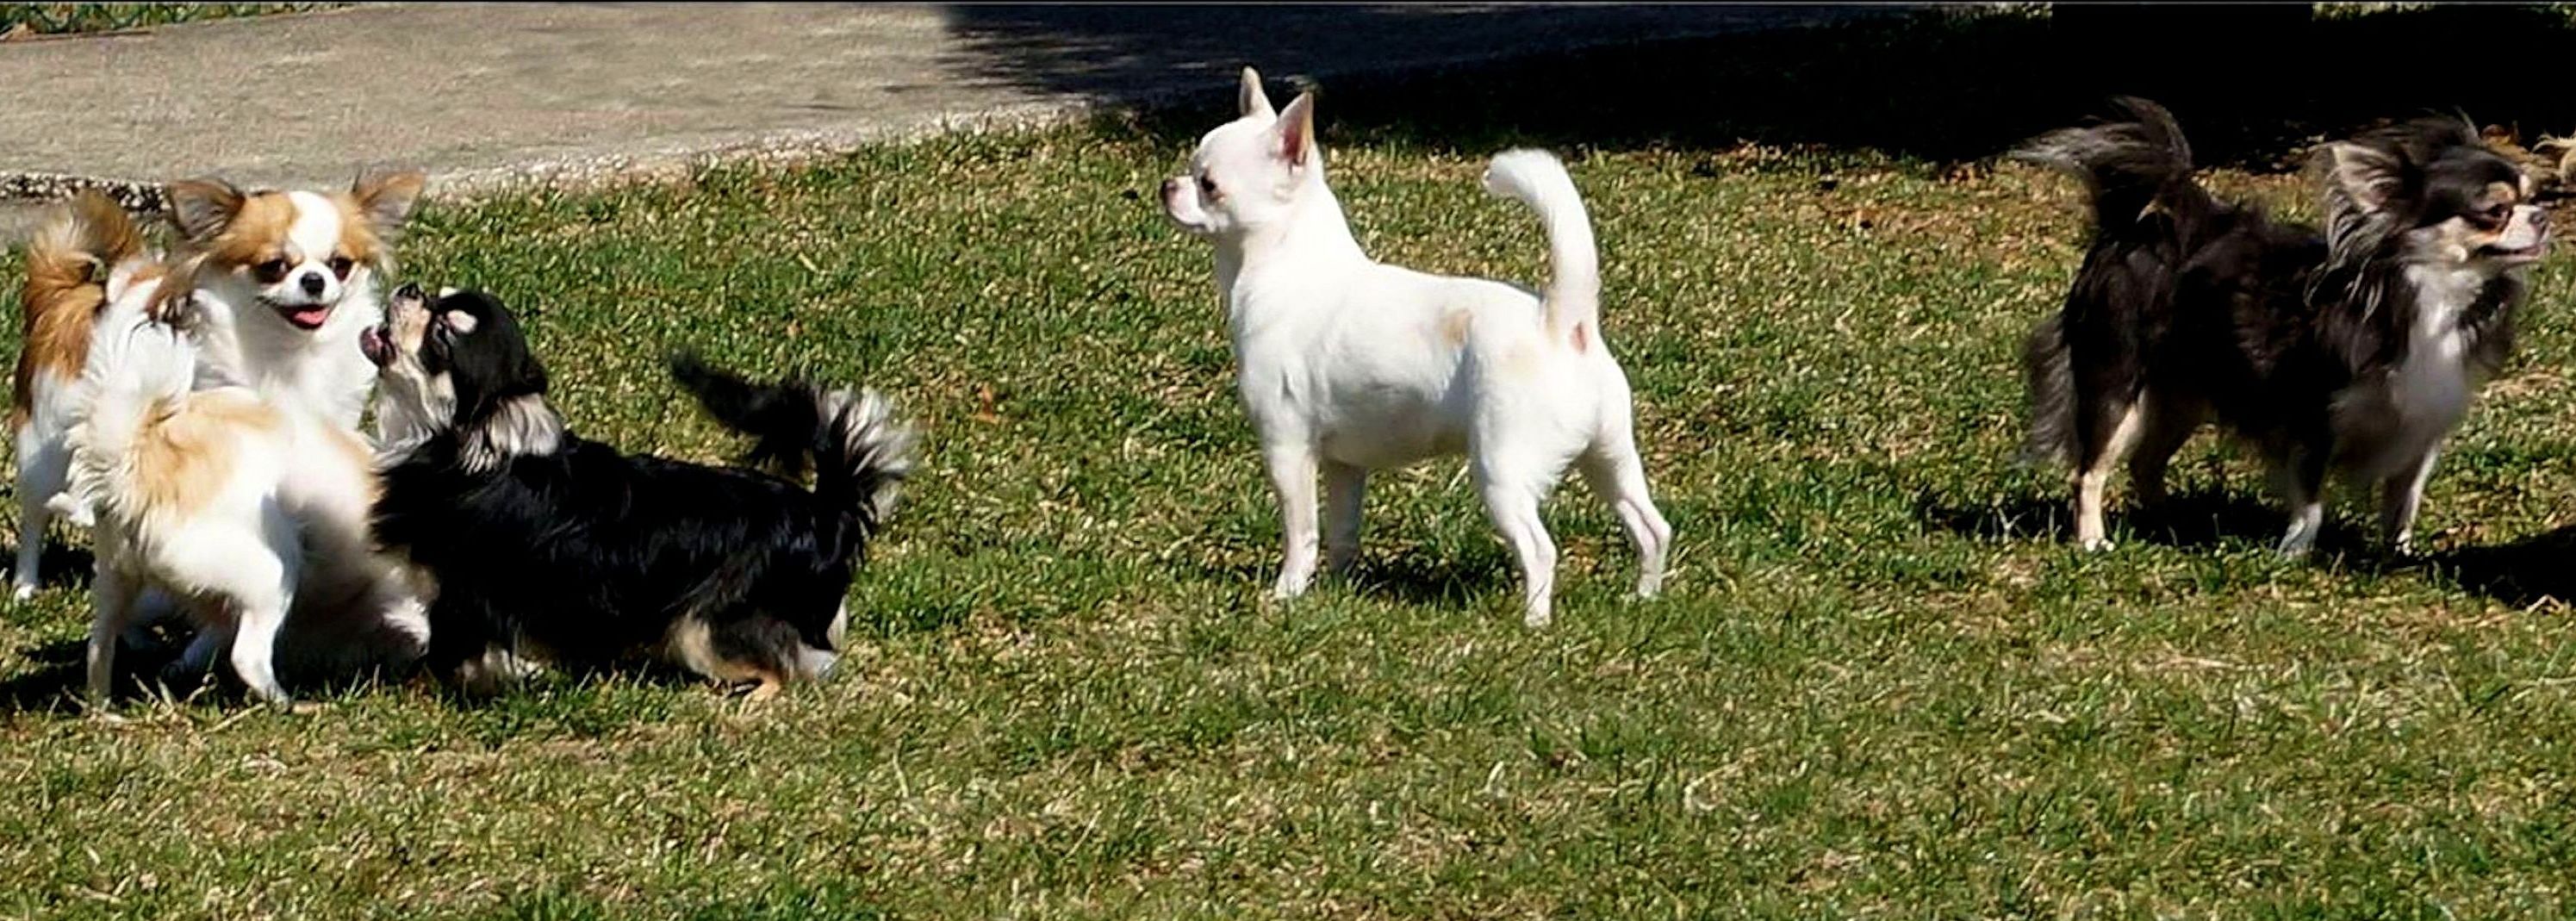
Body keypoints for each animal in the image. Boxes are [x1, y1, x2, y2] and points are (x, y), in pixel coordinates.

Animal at [11, 173, 423, 599]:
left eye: (340, 265)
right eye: (273, 267)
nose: (313, 280)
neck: (286, 351)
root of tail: (68, 294)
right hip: (44, 447)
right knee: (35, 516)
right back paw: (26, 585)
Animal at [49, 255, 429, 708]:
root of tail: (136, 456)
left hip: (115, 579)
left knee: (100, 644)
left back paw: (104, 709)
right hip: (272, 574)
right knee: (248, 657)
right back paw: (292, 703)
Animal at [363, 285, 914, 698]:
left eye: (440, 334)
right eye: (435, 296)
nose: (410, 289)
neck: (462, 449)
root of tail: (826, 509)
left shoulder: (461, 598)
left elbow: (441, 658)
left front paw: (406, 691)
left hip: (701, 627)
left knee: (786, 668)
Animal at [1158, 68, 1672, 627]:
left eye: (1209, 185)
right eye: (1190, 168)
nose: (1168, 185)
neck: (1282, 265)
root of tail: (1561, 322)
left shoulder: (1286, 447)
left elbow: (1302, 533)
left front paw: (1287, 593)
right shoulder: (1344, 464)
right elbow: (1342, 531)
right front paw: (1336, 587)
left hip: (1503, 471)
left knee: (1540, 550)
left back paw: (1534, 621)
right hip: (1609, 458)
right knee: (1651, 527)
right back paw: (1644, 598)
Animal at [2017, 98, 2546, 556]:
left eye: (2532, 197)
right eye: (2494, 212)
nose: (2541, 216)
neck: (2429, 293)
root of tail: (2144, 223)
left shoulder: (2418, 430)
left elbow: (2403, 502)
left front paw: (2399, 555)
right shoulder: (2311, 419)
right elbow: (2311, 502)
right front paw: (2293, 553)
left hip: (2180, 397)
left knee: (2146, 464)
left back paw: (2171, 523)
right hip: (2119, 384)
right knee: (2090, 471)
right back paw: (2093, 541)